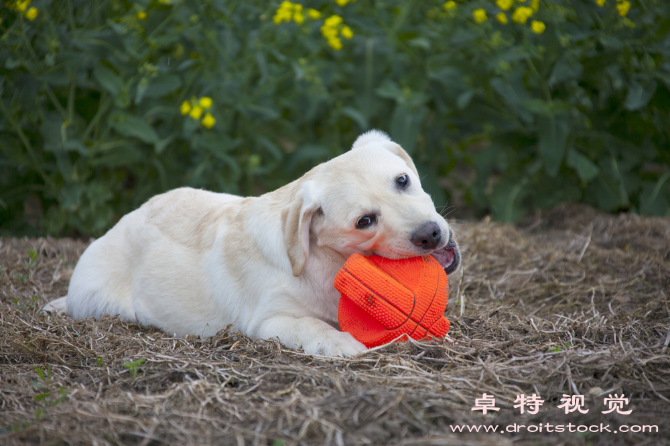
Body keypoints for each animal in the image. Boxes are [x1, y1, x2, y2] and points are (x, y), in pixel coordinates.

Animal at [43, 131, 462, 358]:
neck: (325, 262)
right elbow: (312, 325)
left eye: (403, 180)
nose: (430, 234)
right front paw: (341, 343)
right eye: (364, 221)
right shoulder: (268, 320)